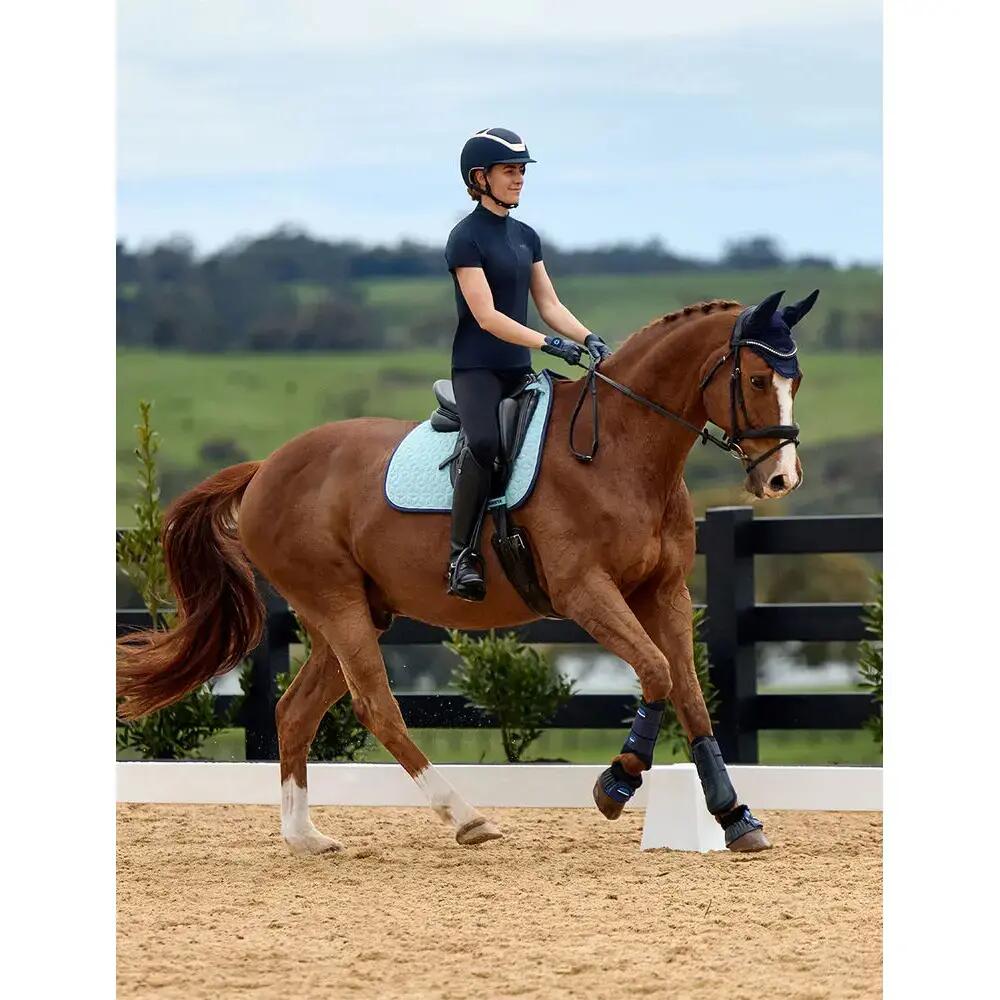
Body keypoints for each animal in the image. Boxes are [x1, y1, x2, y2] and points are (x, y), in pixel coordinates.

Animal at [117, 289, 815, 854]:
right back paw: (466, 817)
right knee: (376, 707)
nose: (781, 479)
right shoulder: (585, 591)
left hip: (350, 612)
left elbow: (690, 693)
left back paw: (304, 836)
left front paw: (734, 816)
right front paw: (616, 784)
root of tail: (264, 468)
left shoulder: (663, 591)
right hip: (336, 604)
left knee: (295, 711)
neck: (620, 449)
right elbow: (656, 672)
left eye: (797, 379)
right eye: (758, 380)